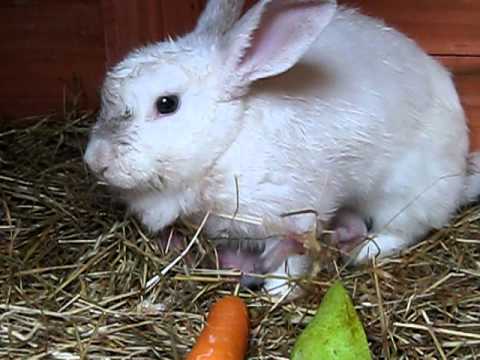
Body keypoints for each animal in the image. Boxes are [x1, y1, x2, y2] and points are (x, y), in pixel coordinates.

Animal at [84, 0, 478, 296]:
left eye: (167, 104)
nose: (95, 160)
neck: (227, 144)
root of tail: (459, 174)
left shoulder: (297, 217)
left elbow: (291, 259)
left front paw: (279, 292)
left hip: (405, 193)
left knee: (406, 229)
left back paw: (363, 250)